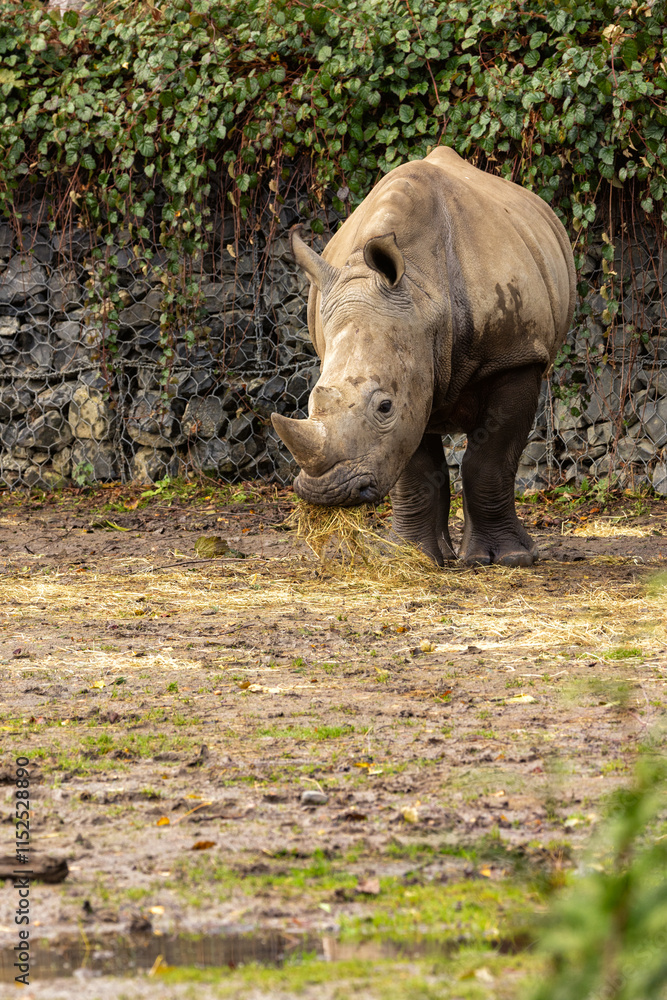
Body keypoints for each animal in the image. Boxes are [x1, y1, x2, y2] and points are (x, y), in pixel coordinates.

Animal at [271, 146, 575, 567]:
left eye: (384, 406)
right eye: (311, 403)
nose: (326, 493)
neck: (423, 298)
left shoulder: (515, 355)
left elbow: (491, 460)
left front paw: (511, 559)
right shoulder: (410, 372)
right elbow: (414, 466)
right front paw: (413, 557)